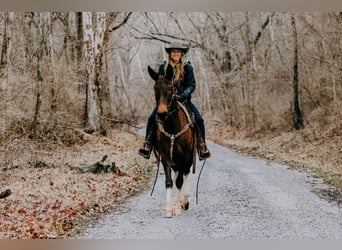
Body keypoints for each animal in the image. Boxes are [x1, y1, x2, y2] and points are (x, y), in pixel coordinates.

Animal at [148, 65, 198, 219]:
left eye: (171, 88)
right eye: (155, 88)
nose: (162, 113)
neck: (172, 127)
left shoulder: (185, 157)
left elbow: (180, 181)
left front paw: (177, 208)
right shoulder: (165, 157)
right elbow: (170, 181)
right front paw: (169, 209)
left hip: (188, 159)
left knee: (185, 174)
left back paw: (184, 202)